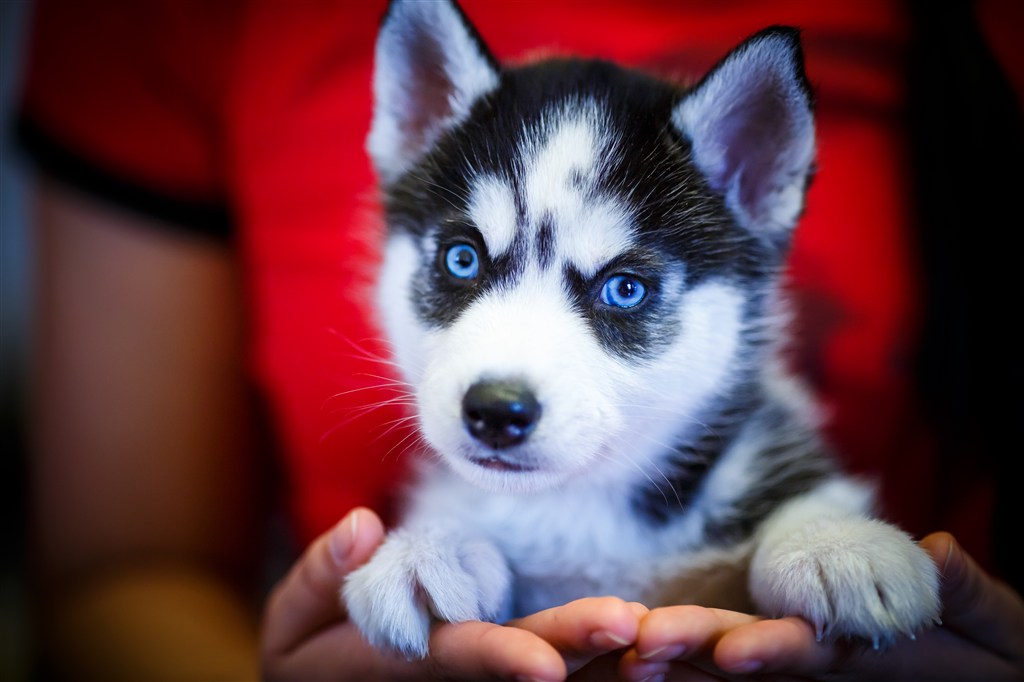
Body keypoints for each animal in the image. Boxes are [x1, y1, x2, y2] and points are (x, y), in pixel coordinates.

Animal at [344, 0, 942, 659]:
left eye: (624, 288)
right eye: (461, 259)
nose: (496, 410)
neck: (580, 504)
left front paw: (833, 542)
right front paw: (431, 548)